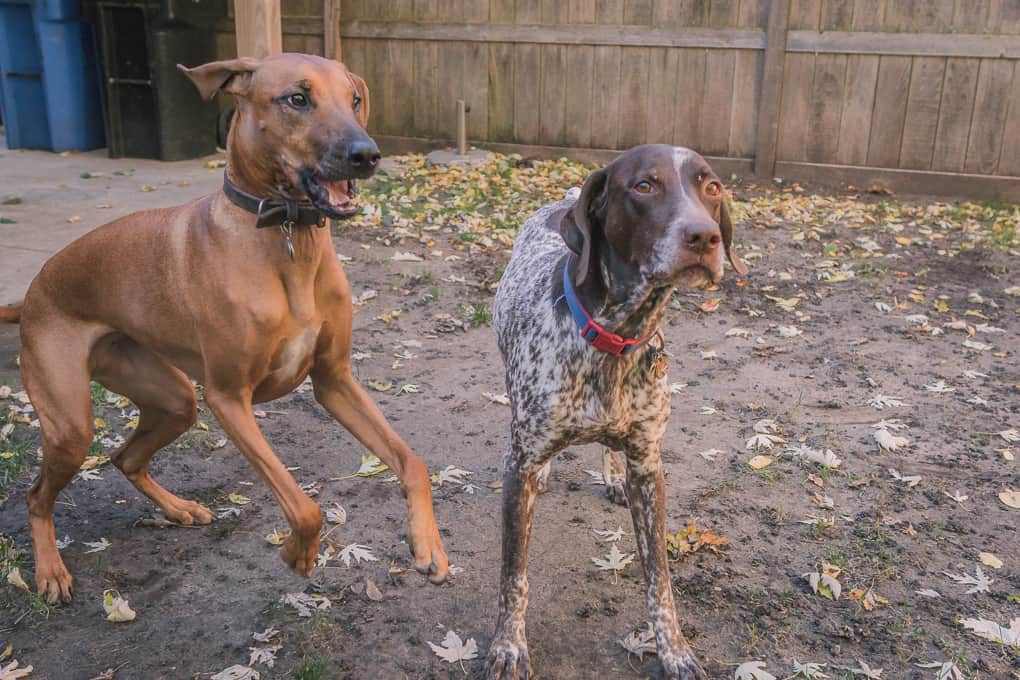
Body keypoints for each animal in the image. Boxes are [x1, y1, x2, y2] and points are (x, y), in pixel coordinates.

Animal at [0, 54, 446, 607]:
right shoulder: (230, 398)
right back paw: (49, 570)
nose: (367, 155)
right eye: (297, 99)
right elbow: (304, 507)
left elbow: (413, 463)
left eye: (355, 99)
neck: (288, 236)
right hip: (71, 424)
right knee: (37, 495)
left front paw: (428, 545)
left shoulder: (335, 381)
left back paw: (178, 509)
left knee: (126, 458)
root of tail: (32, 291)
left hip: (173, 401)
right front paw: (297, 553)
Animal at [487, 144, 750, 680]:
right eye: (644, 186)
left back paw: (609, 475)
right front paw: (508, 645)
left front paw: (674, 651)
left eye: (711, 187)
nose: (705, 237)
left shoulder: (649, 469)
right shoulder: (517, 468)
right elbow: (513, 575)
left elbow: (659, 581)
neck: (618, 336)